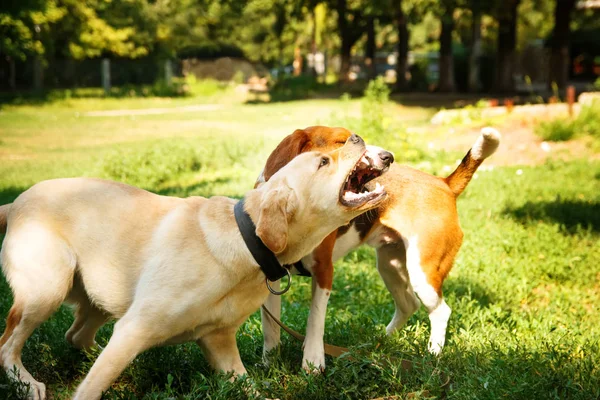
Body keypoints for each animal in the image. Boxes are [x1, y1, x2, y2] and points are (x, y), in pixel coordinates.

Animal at [0, 135, 392, 400]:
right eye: (323, 161)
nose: (358, 138)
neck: (247, 241)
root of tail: (17, 201)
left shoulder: (219, 342)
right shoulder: (135, 327)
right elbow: (91, 388)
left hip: (101, 298)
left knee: (76, 336)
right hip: (47, 291)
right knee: (7, 345)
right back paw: (28, 383)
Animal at [260, 126, 500, 372]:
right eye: (341, 141)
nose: (389, 157)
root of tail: (444, 183)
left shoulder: (324, 271)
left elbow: (315, 320)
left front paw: (313, 362)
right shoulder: (268, 276)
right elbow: (270, 326)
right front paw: (270, 362)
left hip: (423, 273)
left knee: (441, 311)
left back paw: (432, 355)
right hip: (389, 266)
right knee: (408, 305)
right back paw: (378, 342)